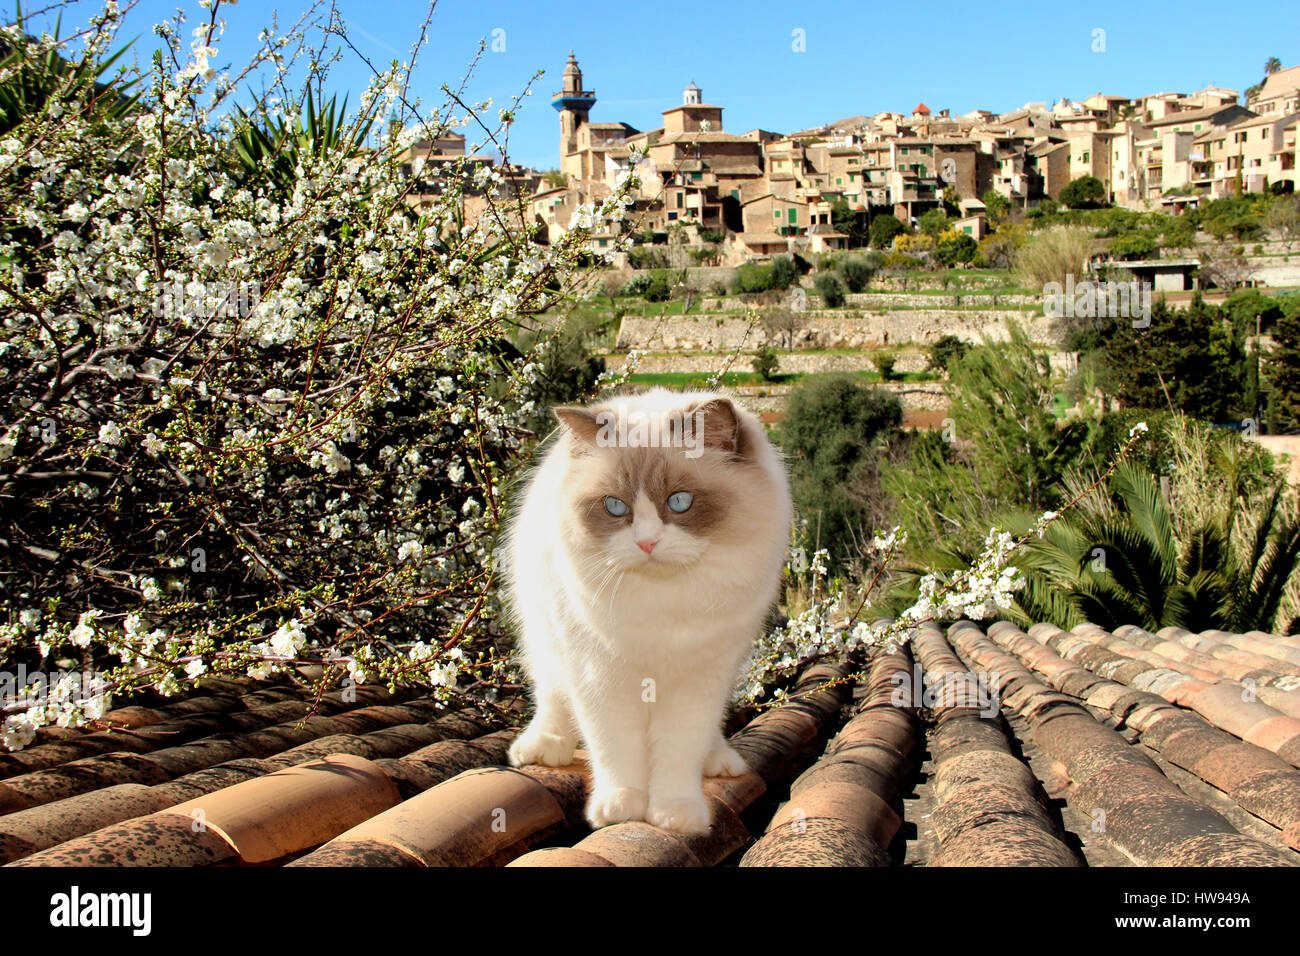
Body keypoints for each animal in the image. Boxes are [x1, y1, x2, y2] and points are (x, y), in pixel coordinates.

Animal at [504, 392, 790, 832]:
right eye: (615, 507)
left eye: (679, 502)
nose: (646, 543)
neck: (661, 603)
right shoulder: (601, 677)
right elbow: (615, 751)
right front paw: (621, 807)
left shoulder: (698, 681)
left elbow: (679, 753)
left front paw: (674, 815)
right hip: (547, 639)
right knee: (551, 697)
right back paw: (543, 747)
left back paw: (719, 761)